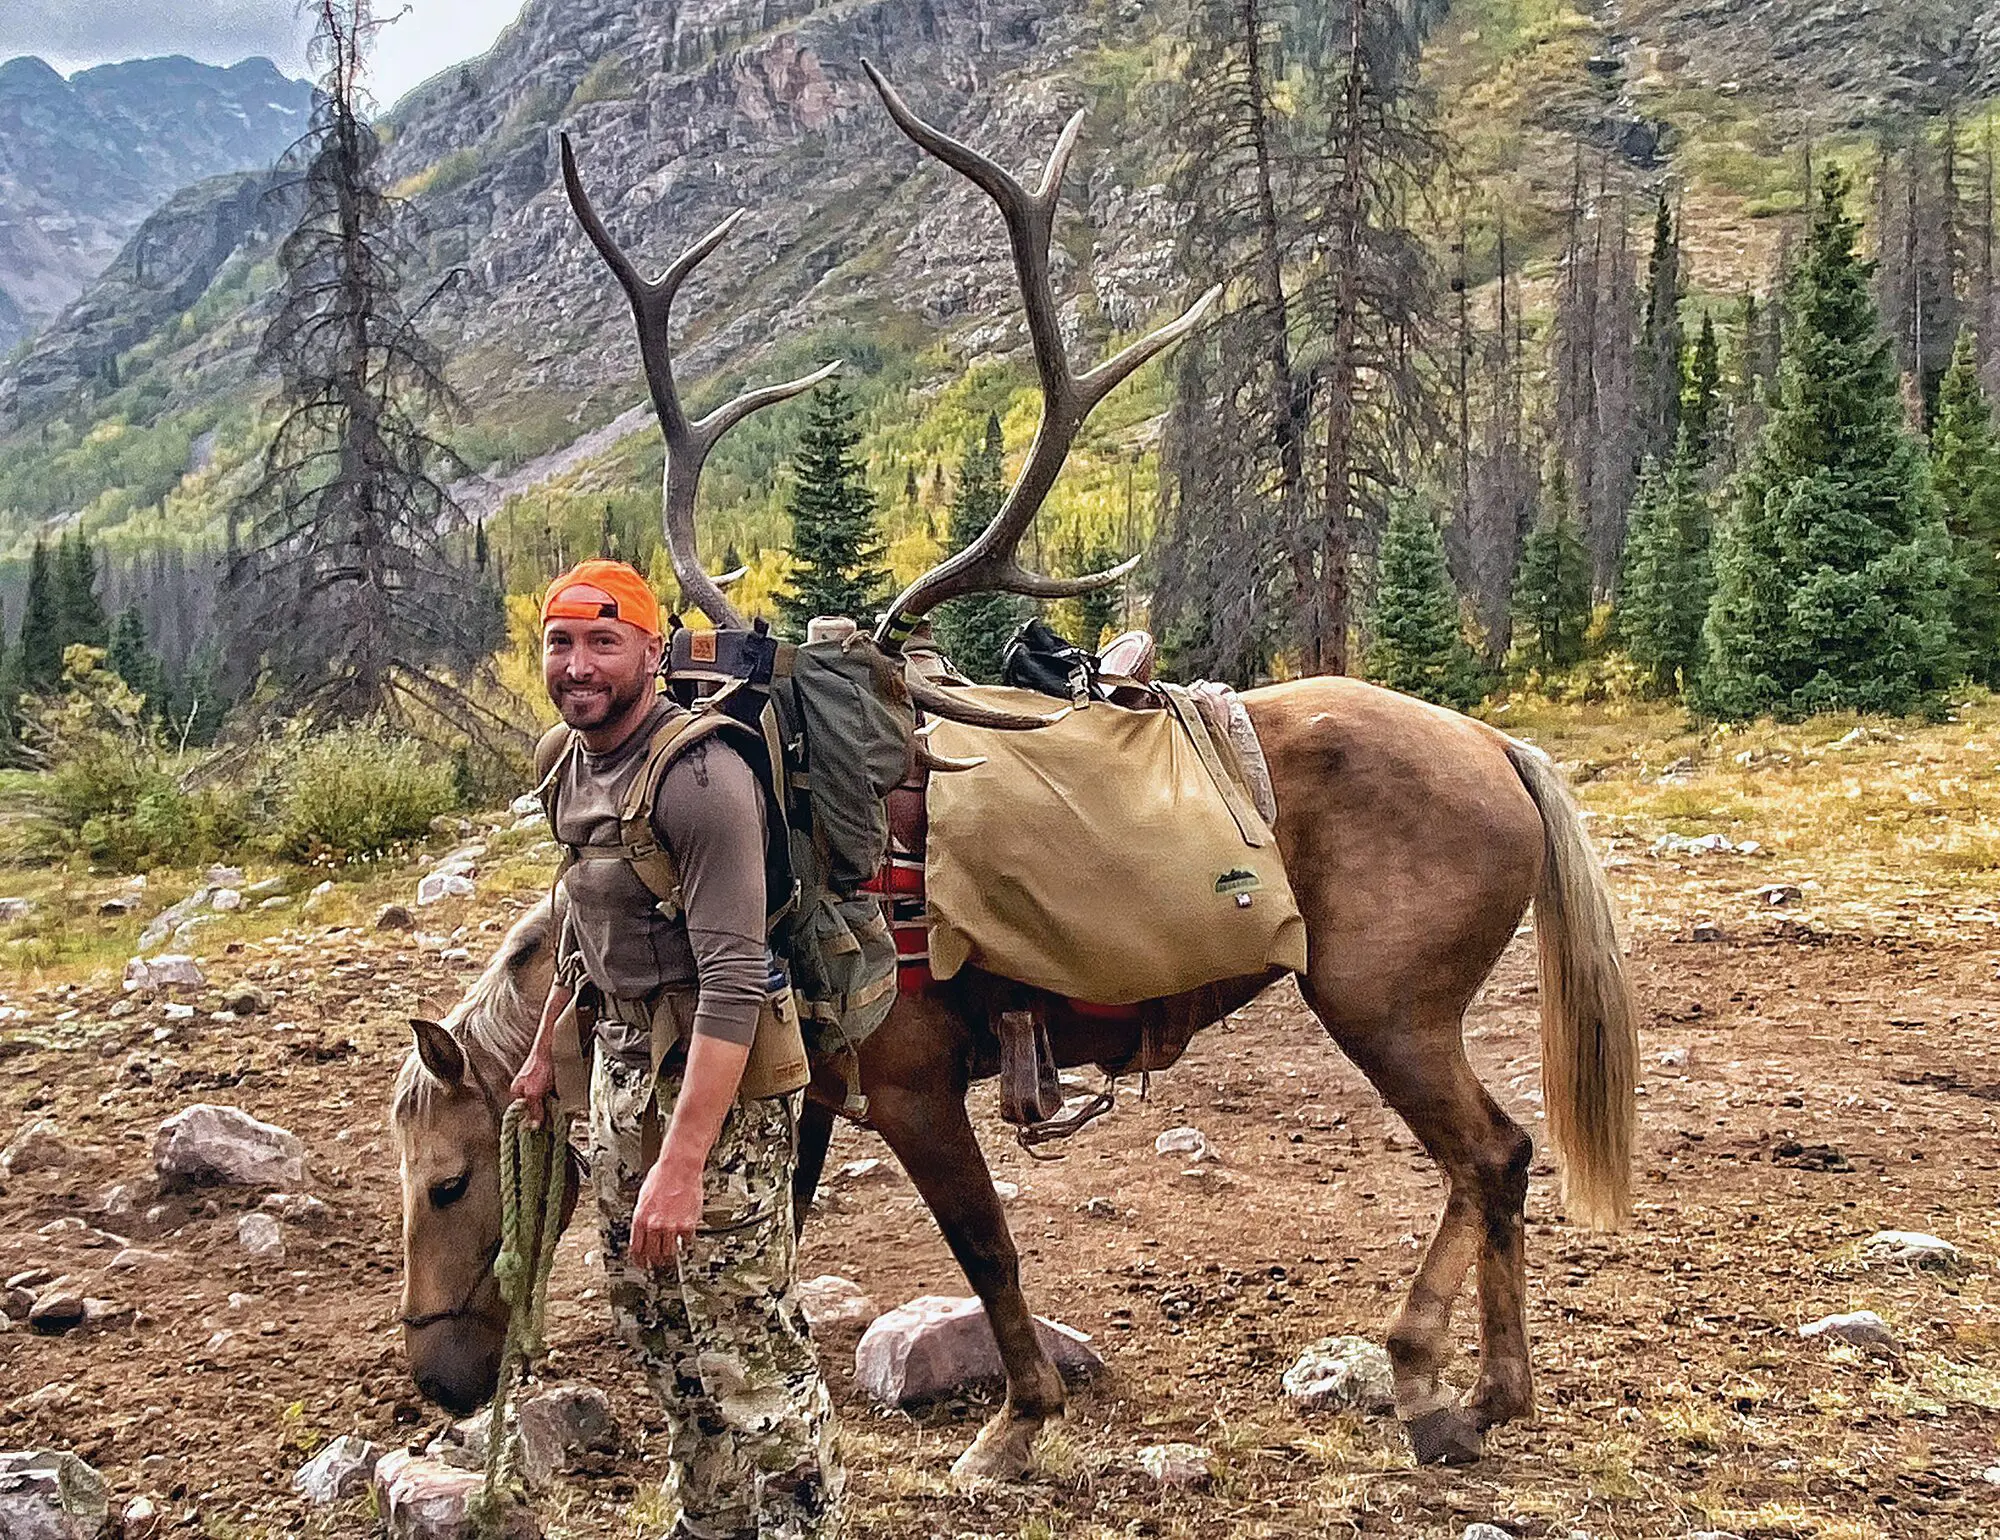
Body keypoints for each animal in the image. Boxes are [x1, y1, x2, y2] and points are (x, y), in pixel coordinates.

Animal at [394, 680, 1640, 1472]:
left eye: (448, 1183)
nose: (440, 1379)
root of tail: (1495, 746)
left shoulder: (913, 1097)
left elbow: (985, 1249)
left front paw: (1013, 1426)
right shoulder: (804, 1099)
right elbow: (777, 1238)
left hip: (1386, 1016)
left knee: (1490, 1154)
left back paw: (1459, 1394)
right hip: (1395, 1020)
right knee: (1488, 1163)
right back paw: (1452, 1382)